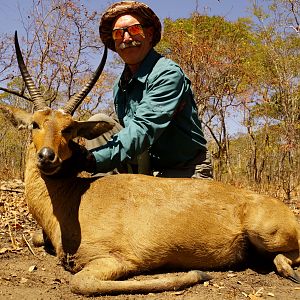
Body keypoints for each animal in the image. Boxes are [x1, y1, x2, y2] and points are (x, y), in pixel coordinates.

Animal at [0, 32, 300, 296]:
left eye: (69, 129)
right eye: (35, 124)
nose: (46, 156)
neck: (72, 199)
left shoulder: (115, 260)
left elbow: (81, 284)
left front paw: (197, 274)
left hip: (266, 233)